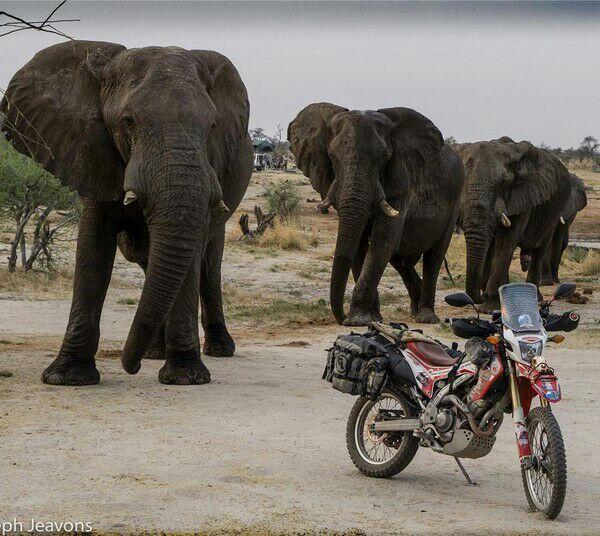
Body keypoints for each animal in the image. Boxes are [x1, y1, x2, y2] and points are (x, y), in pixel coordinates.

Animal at [0, 40, 253, 386]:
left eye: (211, 126)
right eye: (128, 121)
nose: (128, 366)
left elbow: (190, 250)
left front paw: (185, 376)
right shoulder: (92, 151)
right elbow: (93, 247)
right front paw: (67, 377)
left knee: (208, 263)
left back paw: (218, 349)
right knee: (147, 258)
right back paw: (154, 353)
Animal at [288, 102, 466, 324]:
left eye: (384, 158)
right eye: (332, 157)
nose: (342, 317)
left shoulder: (401, 181)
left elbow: (382, 241)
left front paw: (357, 320)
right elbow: (360, 245)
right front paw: (371, 318)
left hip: (455, 202)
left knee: (434, 256)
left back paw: (425, 317)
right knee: (401, 259)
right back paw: (414, 311)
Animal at [454, 138, 572, 312]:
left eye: (503, 182)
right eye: (463, 180)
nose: (478, 299)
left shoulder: (522, 198)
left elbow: (505, 242)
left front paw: (490, 307)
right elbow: (491, 246)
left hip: (555, 211)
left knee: (540, 249)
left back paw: (536, 298)